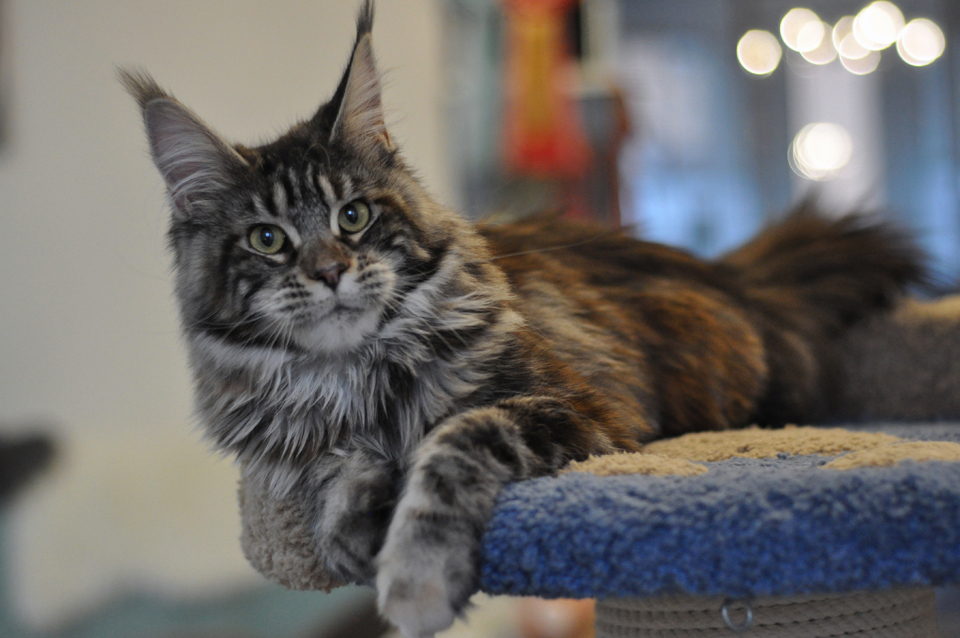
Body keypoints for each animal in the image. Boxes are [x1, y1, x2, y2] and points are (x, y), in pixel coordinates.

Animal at [120, 2, 924, 636]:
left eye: (353, 216)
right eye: (268, 239)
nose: (329, 271)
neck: (359, 374)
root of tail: (736, 274)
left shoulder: (573, 405)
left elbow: (450, 444)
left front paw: (415, 580)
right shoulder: (300, 442)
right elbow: (339, 460)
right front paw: (350, 527)